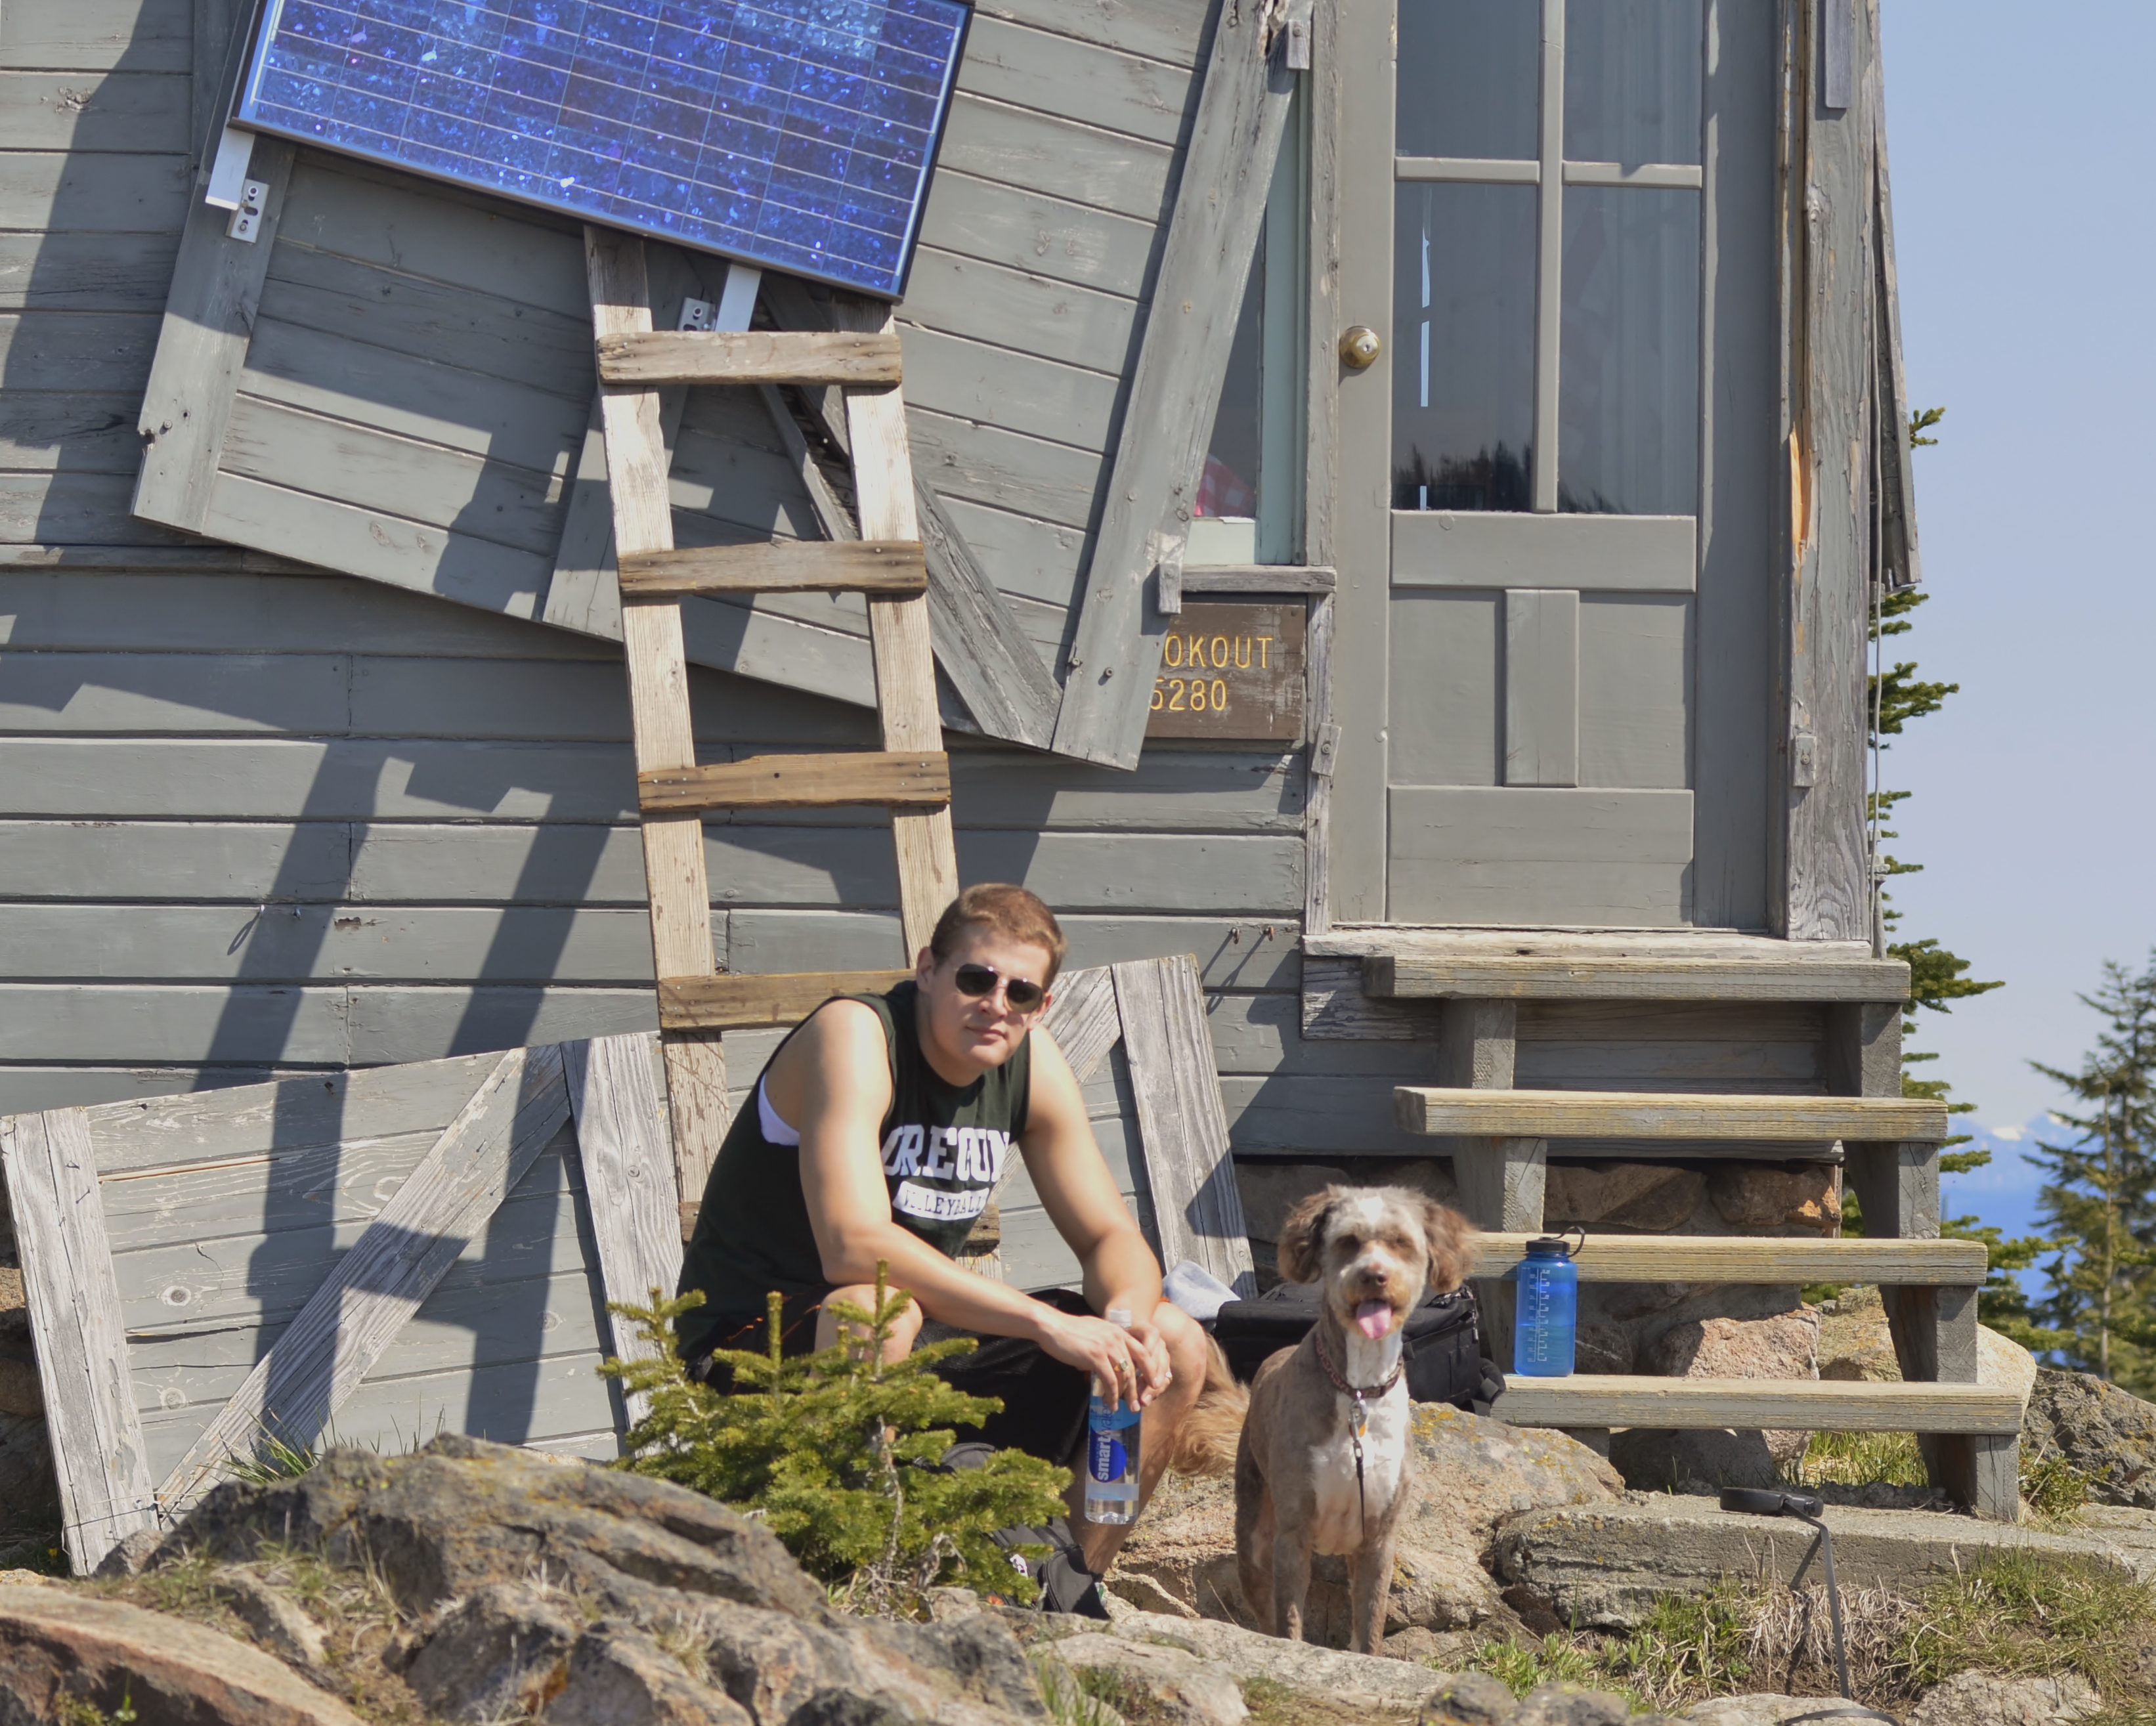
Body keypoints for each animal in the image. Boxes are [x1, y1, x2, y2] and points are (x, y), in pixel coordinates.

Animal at [1229, 1185, 1474, 1652]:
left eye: (1400, 1242)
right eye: (1348, 1241)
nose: (1374, 1275)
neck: (1359, 1388)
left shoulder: (1378, 1537)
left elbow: (1370, 1629)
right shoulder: (1294, 1531)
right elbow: (1288, 1623)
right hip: (1252, 1531)